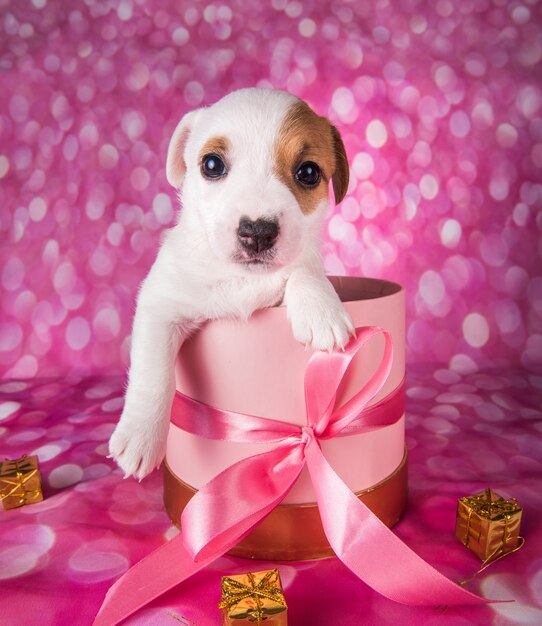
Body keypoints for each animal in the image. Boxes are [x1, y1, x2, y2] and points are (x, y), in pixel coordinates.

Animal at [110, 86, 356, 478]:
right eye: (212, 165)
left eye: (307, 172)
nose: (257, 231)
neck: (238, 278)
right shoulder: (161, 305)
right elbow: (153, 373)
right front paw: (140, 436)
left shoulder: (298, 266)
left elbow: (304, 269)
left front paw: (321, 311)